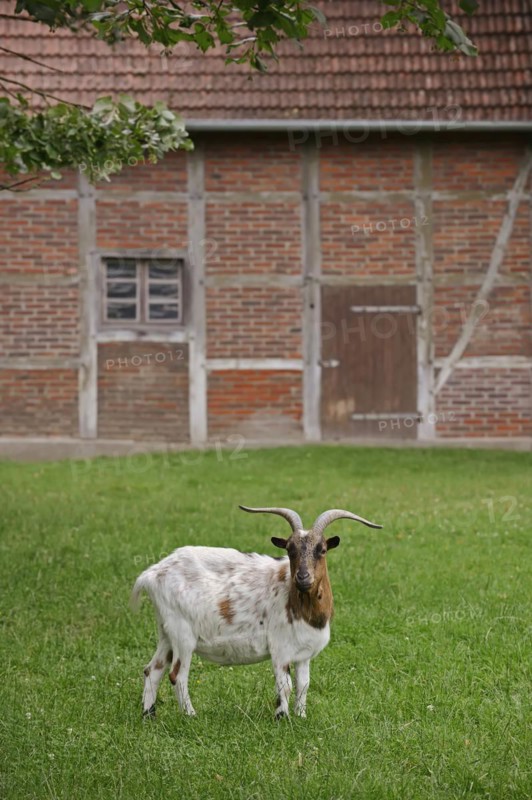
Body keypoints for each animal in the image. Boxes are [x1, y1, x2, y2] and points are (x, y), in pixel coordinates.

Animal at [131, 505, 382, 720]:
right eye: (290, 550)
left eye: (322, 550)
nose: (302, 577)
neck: (298, 603)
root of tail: (152, 574)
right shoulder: (280, 648)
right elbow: (285, 686)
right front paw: (282, 718)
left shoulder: (304, 653)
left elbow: (304, 685)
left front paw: (301, 717)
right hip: (183, 634)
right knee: (177, 675)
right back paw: (191, 716)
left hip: (166, 632)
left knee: (152, 670)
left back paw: (148, 715)